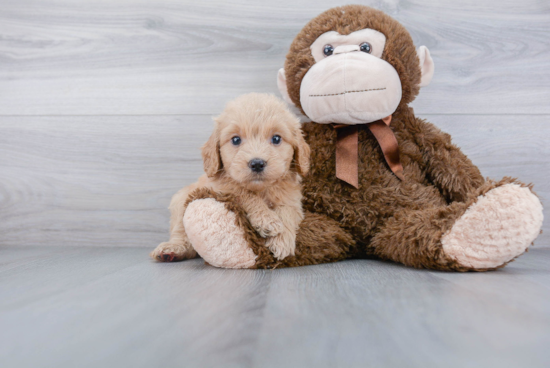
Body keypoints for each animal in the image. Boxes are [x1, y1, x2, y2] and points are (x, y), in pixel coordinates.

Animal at [151, 93, 312, 264]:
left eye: (276, 139)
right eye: (236, 140)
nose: (257, 164)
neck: (261, 190)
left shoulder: (292, 200)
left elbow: (286, 212)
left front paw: (281, 241)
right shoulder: (221, 188)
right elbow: (244, 194)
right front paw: (266, 219)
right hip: (181, 200)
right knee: (181, 233)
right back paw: (172, 249)